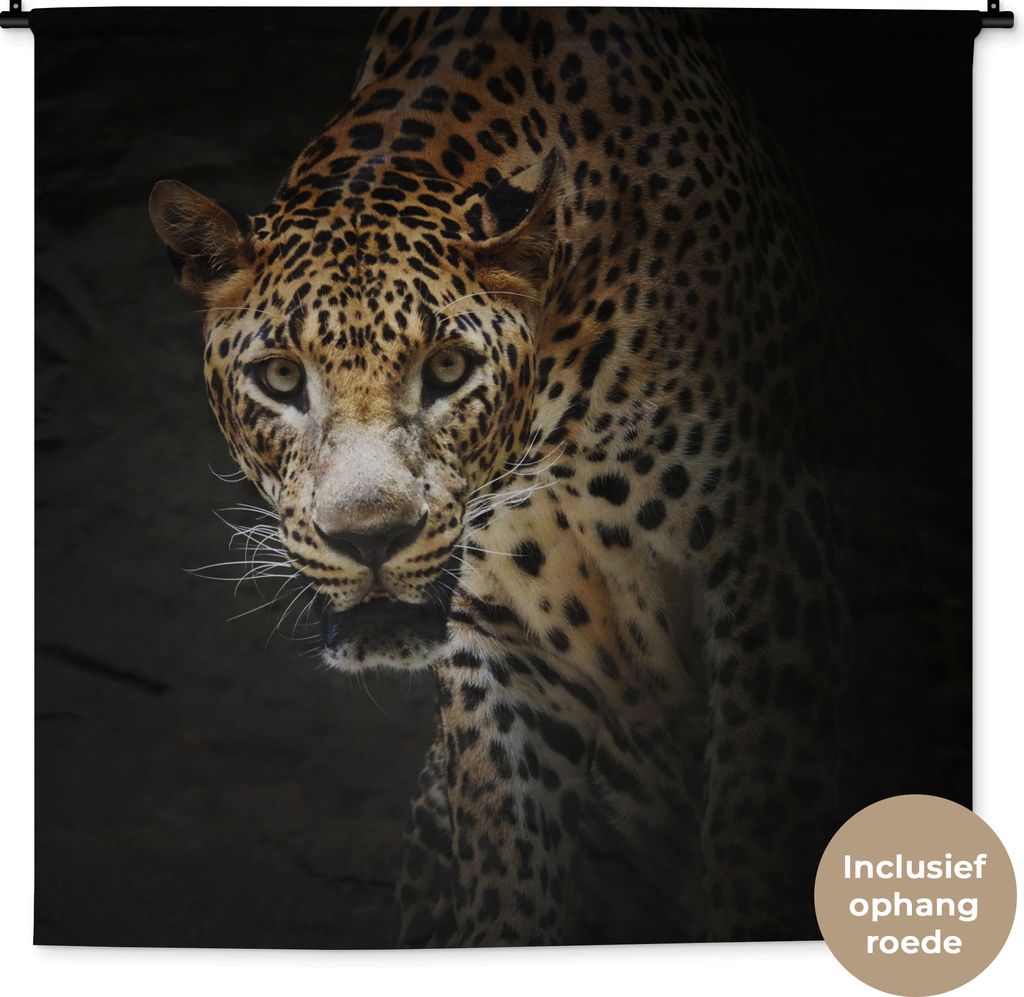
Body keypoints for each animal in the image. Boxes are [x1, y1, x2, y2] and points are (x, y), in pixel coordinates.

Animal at [149, 7, 844, 947]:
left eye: (447, 369)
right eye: (283, 378)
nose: (371, 539)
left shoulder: (769, 566)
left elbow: (753, 829)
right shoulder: (496, 636)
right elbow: (507, 867)